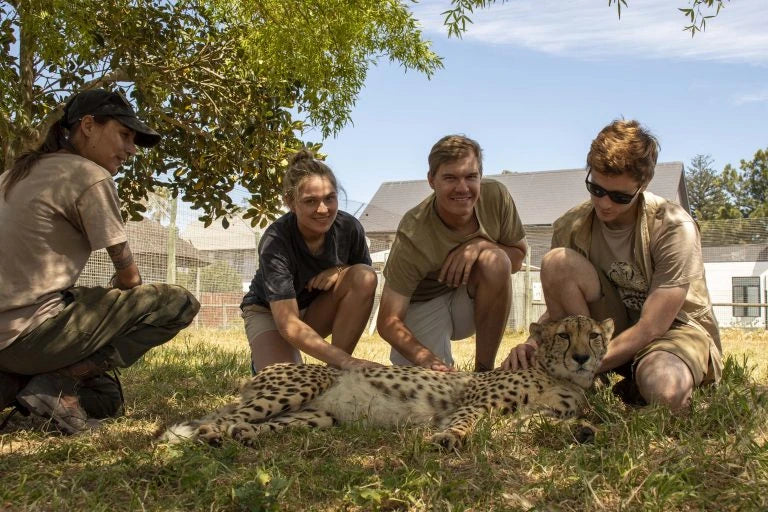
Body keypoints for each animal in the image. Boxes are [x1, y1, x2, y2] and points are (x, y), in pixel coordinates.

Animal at [160, 315, 614, 450]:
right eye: (564, 335)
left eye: (594, 335)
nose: (582, 357)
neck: (555, 375)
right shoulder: (473, 403)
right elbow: (462, 422)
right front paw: (448, 439)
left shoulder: (520, 420)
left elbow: (546, 424)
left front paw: (585, 430)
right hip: (296, 389)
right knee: (218, 418)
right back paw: (210, 434)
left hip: (315, 417)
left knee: (254, 423)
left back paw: (245, 436)